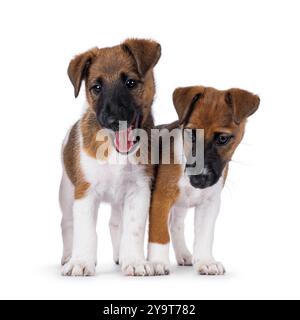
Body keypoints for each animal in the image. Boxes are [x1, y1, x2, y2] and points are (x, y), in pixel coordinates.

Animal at [59, 38, 162, 276]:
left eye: (131, 83)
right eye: (96, 88)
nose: (114, 120)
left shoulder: (139, 190)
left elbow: (133, 229)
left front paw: (134, 261)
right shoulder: (85, 193)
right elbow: (85, 232)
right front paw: (81, 262)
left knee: (116, 223)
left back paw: (119, 256)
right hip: (67, 193)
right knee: (67, 224)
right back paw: (68, 256)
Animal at [146, 85, 258, 276]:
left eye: (223, 138)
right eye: (191, 134)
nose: (198, 180)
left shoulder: (209, 204)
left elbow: (204, 236)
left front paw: (205, 261)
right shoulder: (160, 198)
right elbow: (159, 233)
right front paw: (157, 262)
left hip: (181, 205)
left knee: (175, 225)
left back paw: (183, 254)